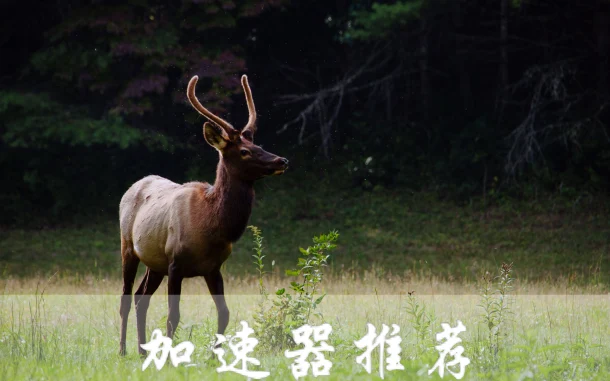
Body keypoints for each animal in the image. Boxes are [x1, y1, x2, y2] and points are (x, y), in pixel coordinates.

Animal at [120, 75, 288, 356]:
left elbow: (225, 313)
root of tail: (133, 186)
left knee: (140, 298)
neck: (212, 226)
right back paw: (123, 350)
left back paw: (142, 350)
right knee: (125, 296)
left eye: (258, 145)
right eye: (243, 151)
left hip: (155, 263)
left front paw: (215, 355)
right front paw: (169, 357)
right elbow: (173, 316)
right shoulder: (175, 263)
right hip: (128, 247)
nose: (281, 161)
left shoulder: (214, 267)